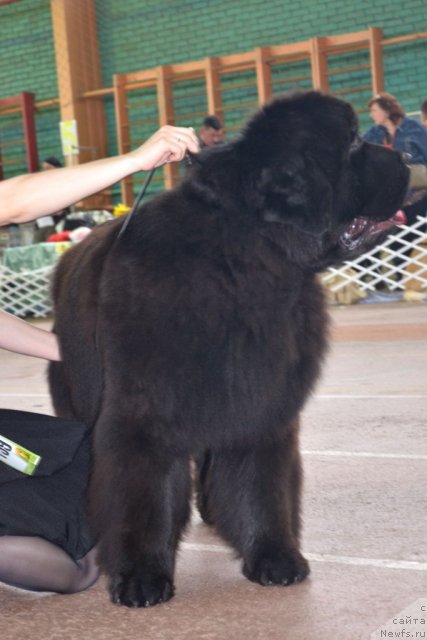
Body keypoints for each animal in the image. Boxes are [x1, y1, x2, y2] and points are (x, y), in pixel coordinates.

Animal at [48, 90, 410, 604]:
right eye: (354, 141)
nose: (405, 158)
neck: (242, 260)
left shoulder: (261, 402)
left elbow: (261, 485)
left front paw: (274, 558)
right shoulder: (143, 412)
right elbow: (143, 492)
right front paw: (141, 576)